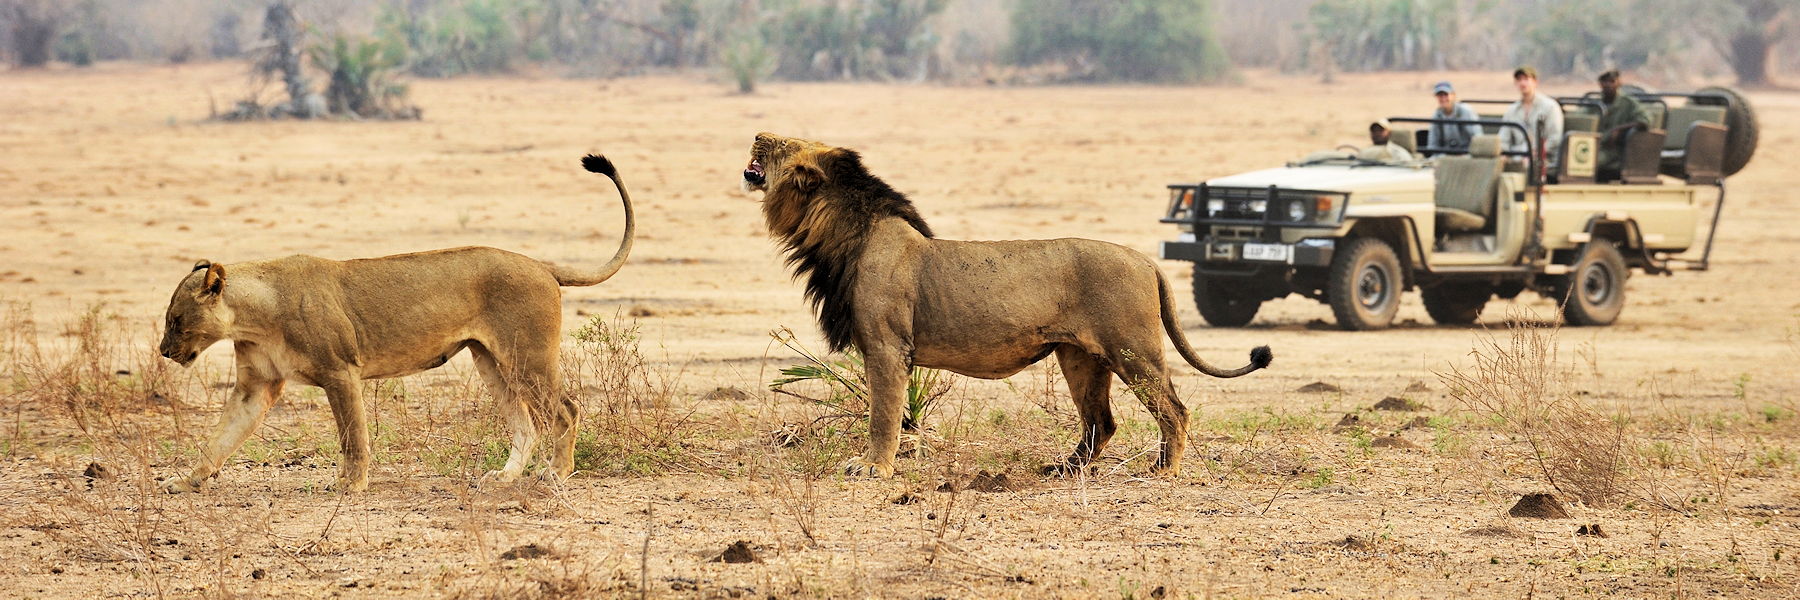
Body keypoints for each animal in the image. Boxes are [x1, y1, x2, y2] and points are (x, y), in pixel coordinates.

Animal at [156, 154, 633, 493]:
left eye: (176, 320)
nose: (164, 351)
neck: (253, 318)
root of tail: (541, 265)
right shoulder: (255, 386)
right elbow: (220, 438)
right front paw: (185, 480)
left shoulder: (340, 371)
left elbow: (353, 436)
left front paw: (350, 485)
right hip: (491, 360)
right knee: (525, 422)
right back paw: (505, 477)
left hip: (527, 356)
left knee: (566, 410)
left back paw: (556, 474)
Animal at [743, 133, 1272, 478]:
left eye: (782, 144)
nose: (757, 134)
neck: (839, 233)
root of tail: (1145, 259)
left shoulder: (888, 348)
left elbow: (883, 414)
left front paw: (874, 468)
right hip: (1081, 358)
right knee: (1102, 422)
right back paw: (1064, 469)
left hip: (1132, 350)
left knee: (1173, 410)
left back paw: (1163, 471)